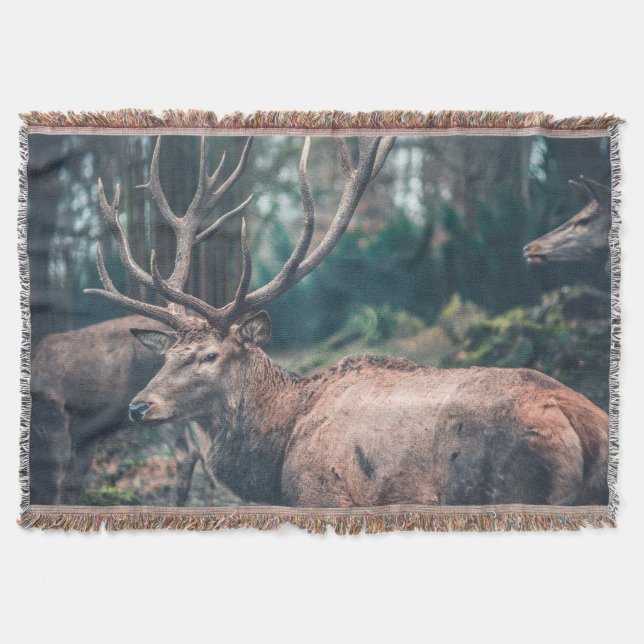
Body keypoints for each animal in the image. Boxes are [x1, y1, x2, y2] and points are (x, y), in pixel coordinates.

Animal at [85, 135, 609, 508]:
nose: (138, 406)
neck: (277, 459)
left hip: (517, 486)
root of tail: (585, 424)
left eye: (210, 355)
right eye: (168, 355)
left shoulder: (324, 493)